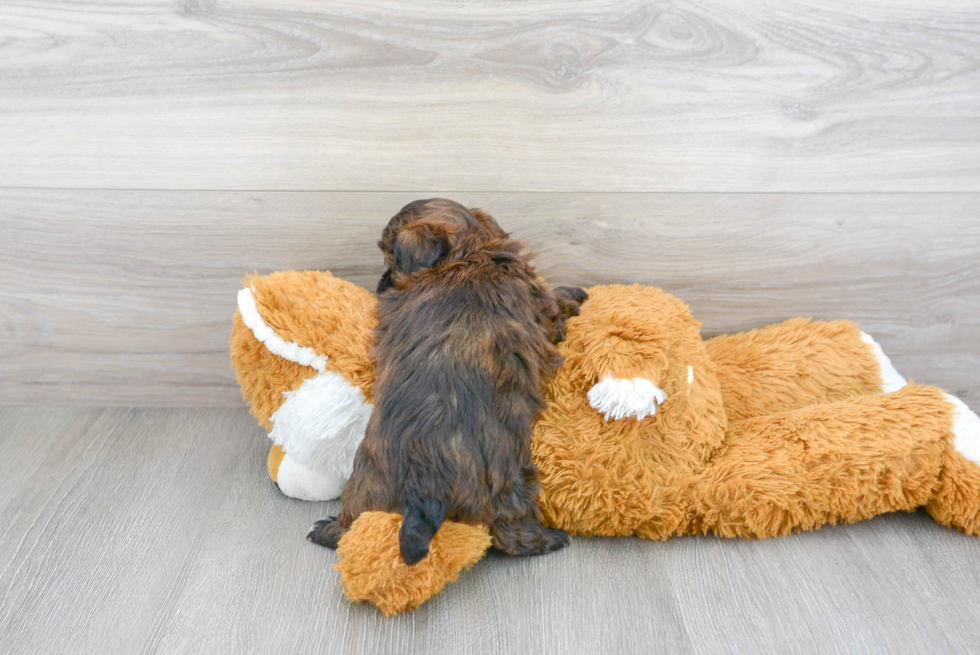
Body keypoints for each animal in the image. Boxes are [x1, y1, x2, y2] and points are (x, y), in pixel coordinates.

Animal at [310, 196, 584, 564]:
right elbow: (556, 305)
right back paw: (550, 539)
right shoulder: (541, 308)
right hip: (512, 477)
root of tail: (426, 481)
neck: (466, 256)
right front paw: (574, 295)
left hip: (370, 482)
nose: (380, 284)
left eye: (389, 260)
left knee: (355, 520)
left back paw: (328, 529)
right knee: (513, 532)